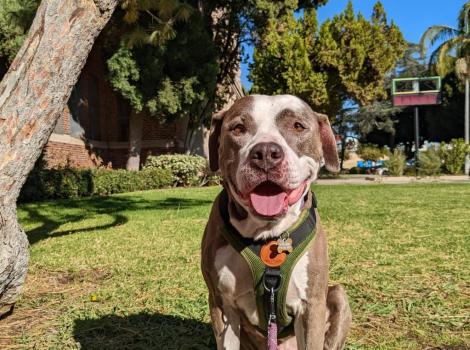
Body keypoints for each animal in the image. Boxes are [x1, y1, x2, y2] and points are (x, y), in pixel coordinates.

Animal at [200, 94, 350, 348]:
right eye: (238, 128)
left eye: (298, 126)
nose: (266, 153)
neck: (265, 233)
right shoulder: (222, 305)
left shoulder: (311, 306)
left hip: (338, 295)